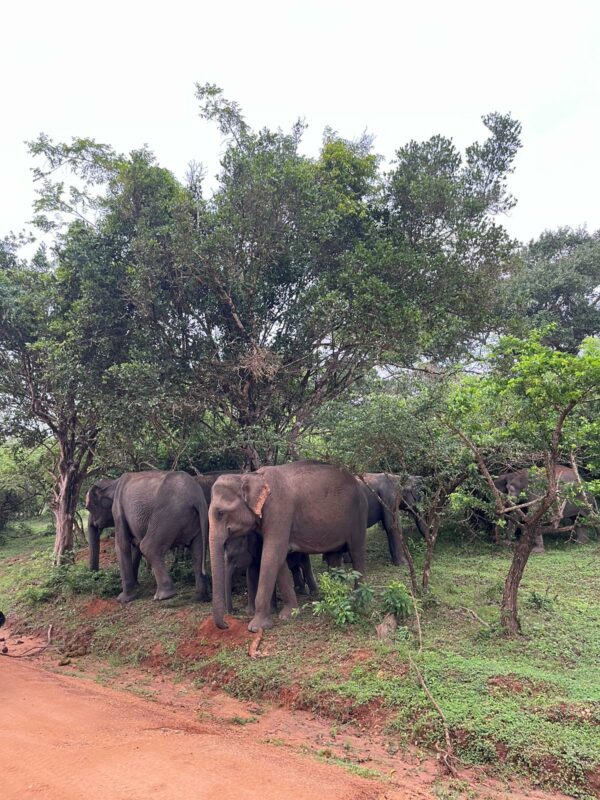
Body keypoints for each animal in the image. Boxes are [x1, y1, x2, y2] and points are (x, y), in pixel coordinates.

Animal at [88, 472, 210, 604]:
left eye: (88, 508)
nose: (95, 576)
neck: (112, 482)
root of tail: (196, 497)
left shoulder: (118, 509)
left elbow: (122, 545)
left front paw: (123, 599)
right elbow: (135, 546)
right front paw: (136, 586)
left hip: (167, 516)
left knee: (148, 546)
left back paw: (163, 596)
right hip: (195, 519)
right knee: (197, 553)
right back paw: (199, 598)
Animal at [207, 462, 366, 632]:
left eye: (220, 513)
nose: (227, 623)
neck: (250, 476)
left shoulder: (279, 511)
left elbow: (271, 555)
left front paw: (256, 627)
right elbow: (278, 558)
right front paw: (288, 614)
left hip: (359, 514)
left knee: (357, 552)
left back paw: (359, 599)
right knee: (334, 556)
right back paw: (334, 596)